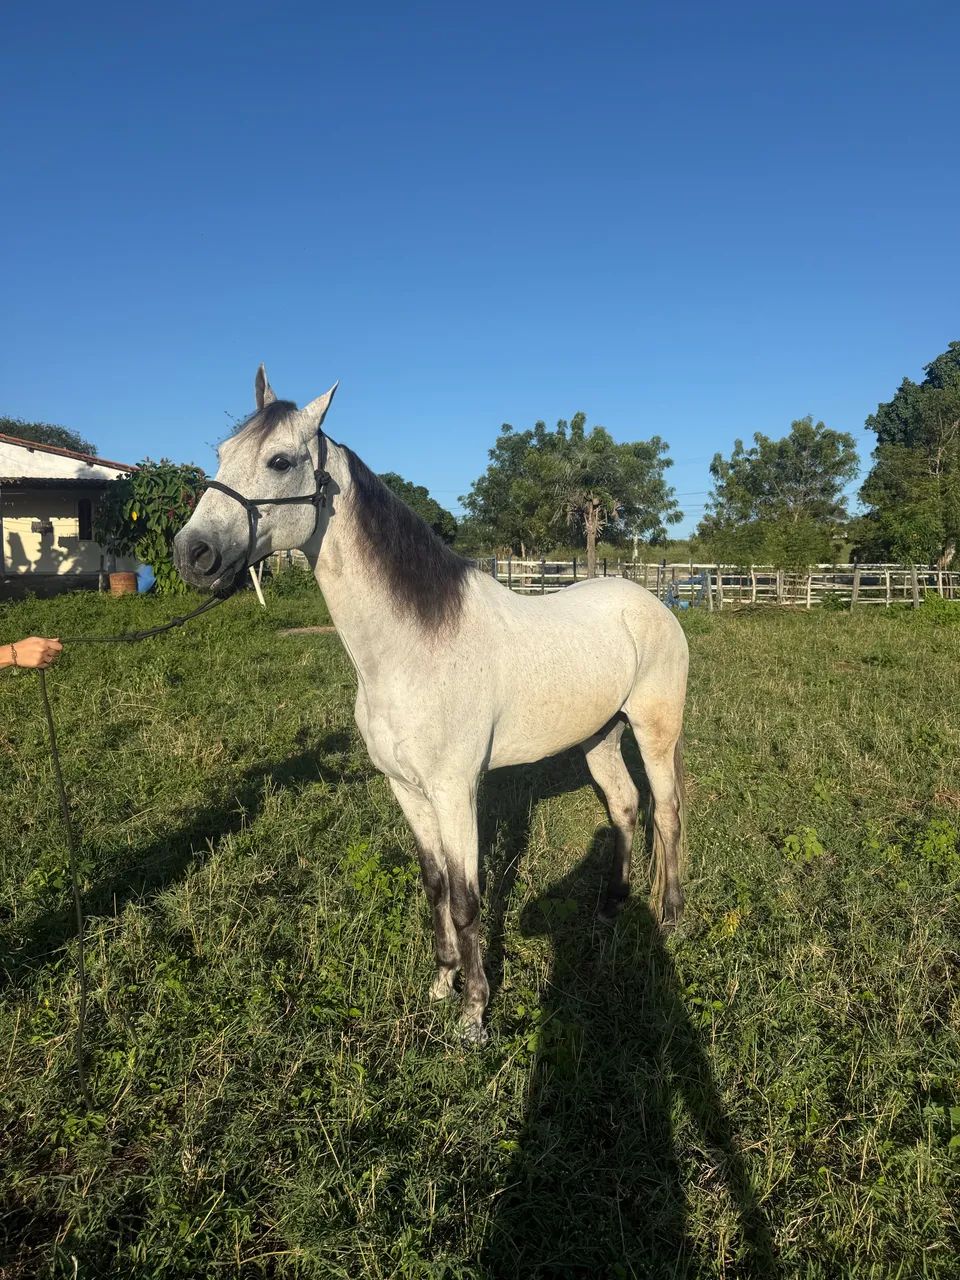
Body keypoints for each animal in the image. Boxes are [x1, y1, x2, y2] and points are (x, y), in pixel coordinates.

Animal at [173, 367, 689, 1043]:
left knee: (668, 813)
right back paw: (609, 908)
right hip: (598, 734)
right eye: (221, 454)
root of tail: (652, 601)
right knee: (626, 806)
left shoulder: (455, 789)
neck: (412, 648)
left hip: (655, 732)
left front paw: (474, 1015)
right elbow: (436, 884)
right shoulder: (407, 789)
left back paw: (670, 916)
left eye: (279, 460)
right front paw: (443, 983)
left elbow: (468, 900)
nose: (192, 553)